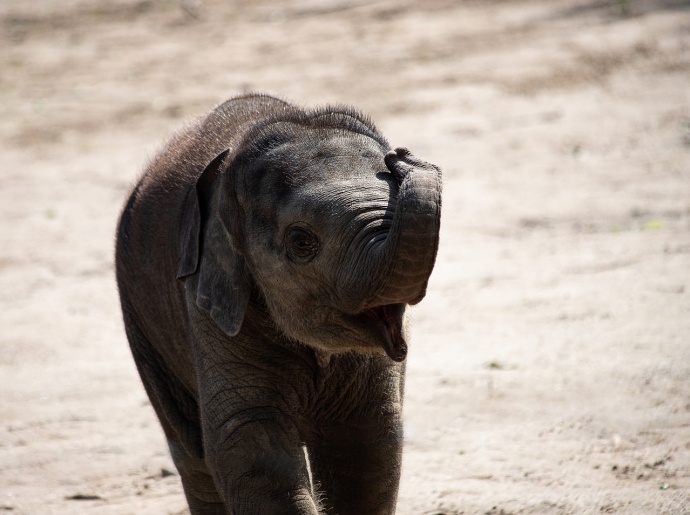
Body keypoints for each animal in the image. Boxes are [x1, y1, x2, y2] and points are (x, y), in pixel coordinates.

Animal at [115, 93, 440, 515]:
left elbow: (367, 442)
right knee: (192, 454)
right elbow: (251, 443)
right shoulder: (210, 308)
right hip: (141, 319)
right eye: (301, 242)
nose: (401, 156)